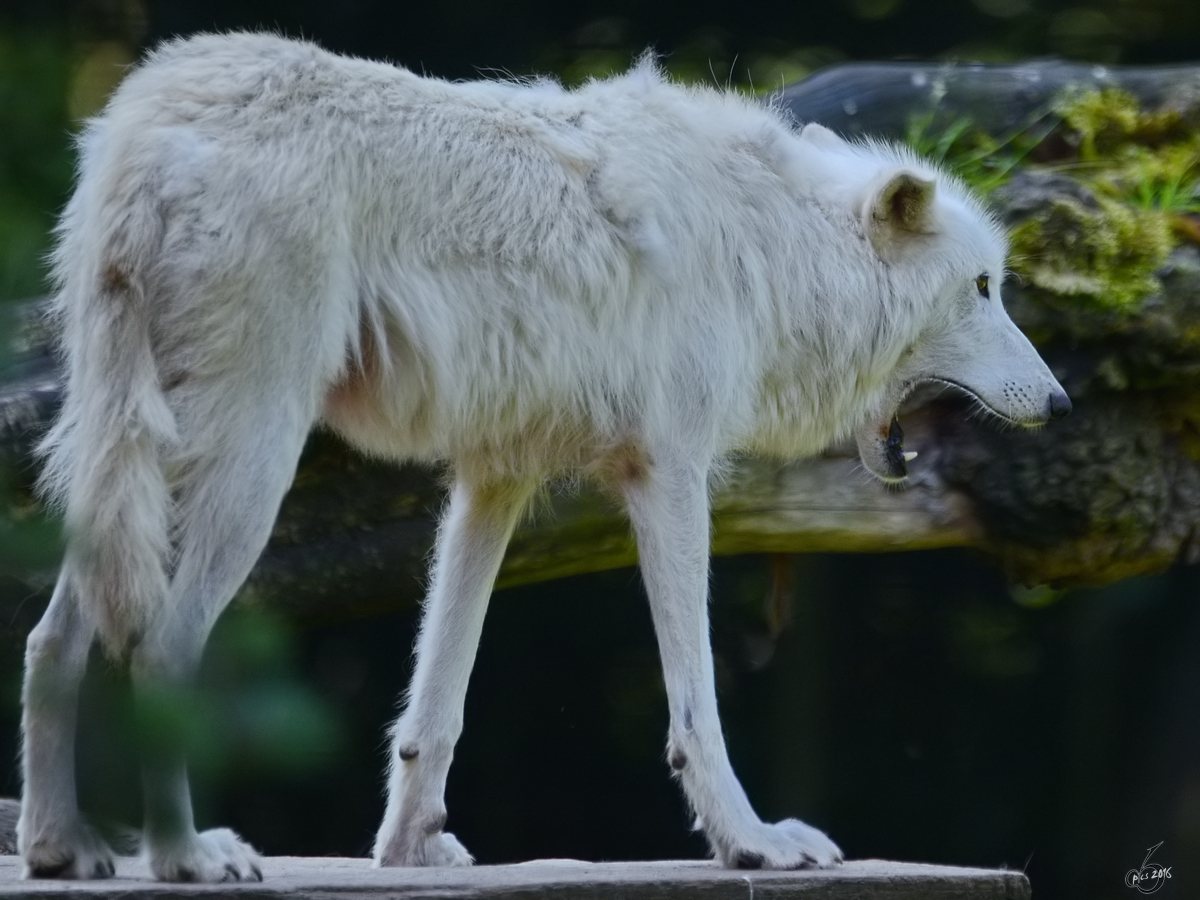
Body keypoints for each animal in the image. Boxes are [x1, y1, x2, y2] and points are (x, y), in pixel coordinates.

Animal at [16, 33, 1070, 883]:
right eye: (984, 288)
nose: (1060, 402)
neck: (774, 252)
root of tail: (144, 124)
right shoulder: (672, 472)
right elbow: (698, 702)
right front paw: (752, 842)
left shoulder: (493, 482)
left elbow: (437, 698)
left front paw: (408, 849)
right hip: (251, 463)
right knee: (158, 643)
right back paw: (188, 857)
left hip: (129, 465)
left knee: (52, 638)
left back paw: (61, 850)